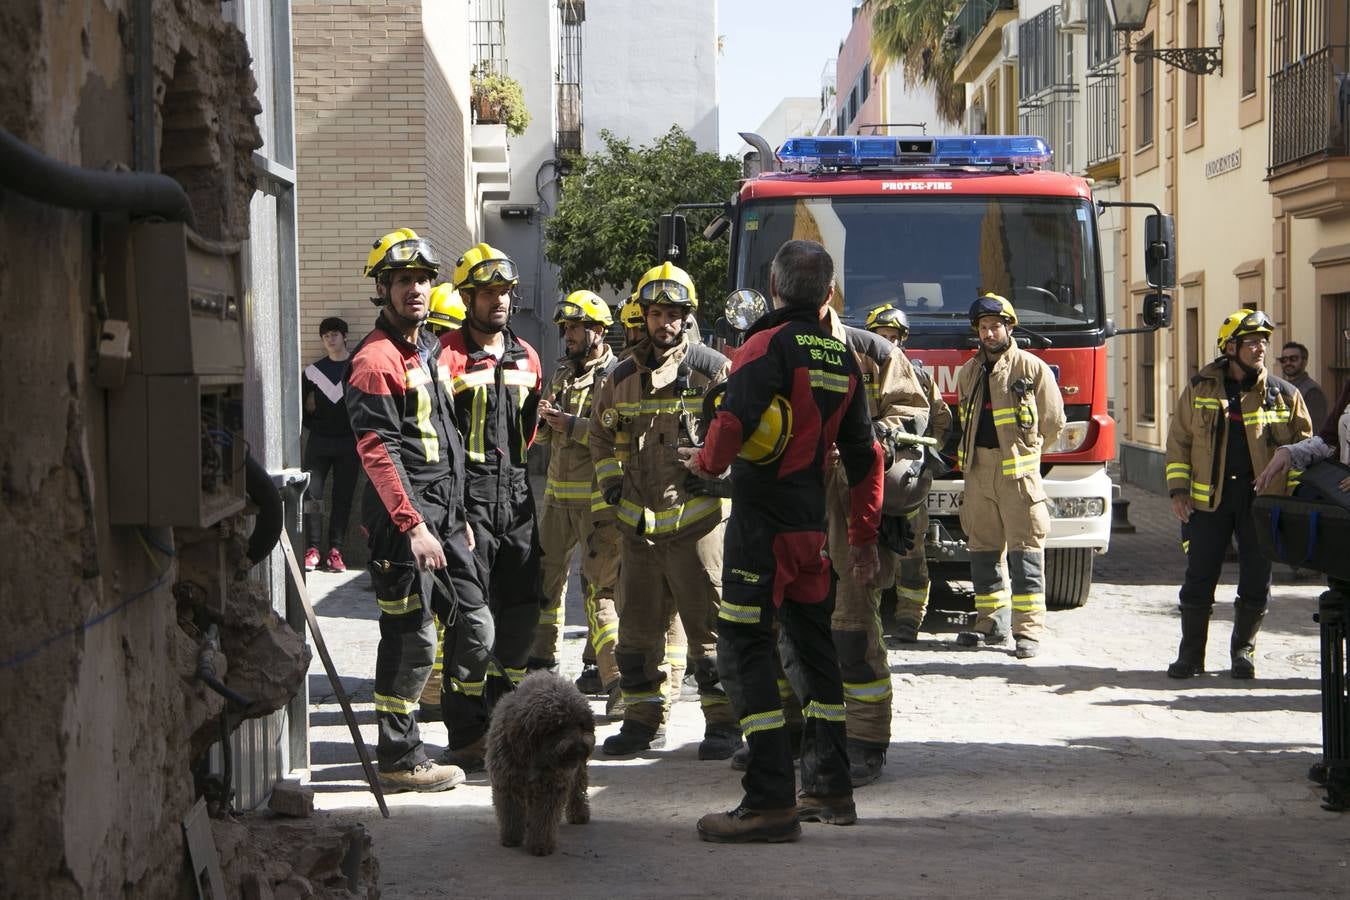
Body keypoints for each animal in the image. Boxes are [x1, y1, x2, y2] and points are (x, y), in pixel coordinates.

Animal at [483, 671, 594, 858]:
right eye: (559, 726)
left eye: (581, 724)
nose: (579, 747)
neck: (534, 754)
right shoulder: (507, 783)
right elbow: (511, 813)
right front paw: (511, 837)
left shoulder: (551, 786)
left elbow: (544, 818)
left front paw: (541, 844)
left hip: (577, 771)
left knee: (578, 789)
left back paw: (579, 813)